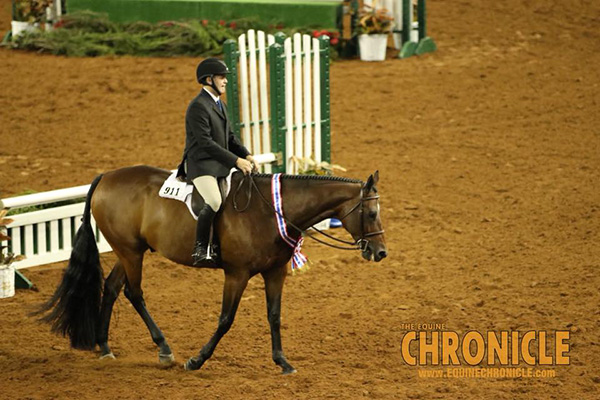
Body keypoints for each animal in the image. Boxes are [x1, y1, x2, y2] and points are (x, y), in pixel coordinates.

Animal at [37, 164, 386, 374]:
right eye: (370, 213)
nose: (380, 252)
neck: (273, 211)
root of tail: (106, 177)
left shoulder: (275, 272)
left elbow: (274, 315)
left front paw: (283, 362)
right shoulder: (237, 274)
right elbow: (225, 319)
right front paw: (197, 359)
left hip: (130, 252)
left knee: (112, 288)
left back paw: (105, 347)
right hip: (130, 252)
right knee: (134, 293)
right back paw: (164, 349)